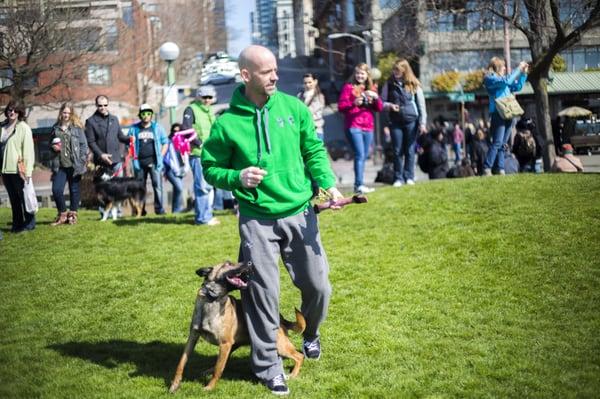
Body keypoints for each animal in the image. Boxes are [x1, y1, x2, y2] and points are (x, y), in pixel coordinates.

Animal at [171, 260, 308, 392]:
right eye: (228, 263)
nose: (250, 263)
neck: (212, 300)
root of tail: (280, 318)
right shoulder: (193, 337)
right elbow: (181, 363)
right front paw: (175, 384)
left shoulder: (225, 344)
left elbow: (218, 370)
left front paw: (209, 387)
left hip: (279, 346)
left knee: (299, 356)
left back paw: (293, 374)